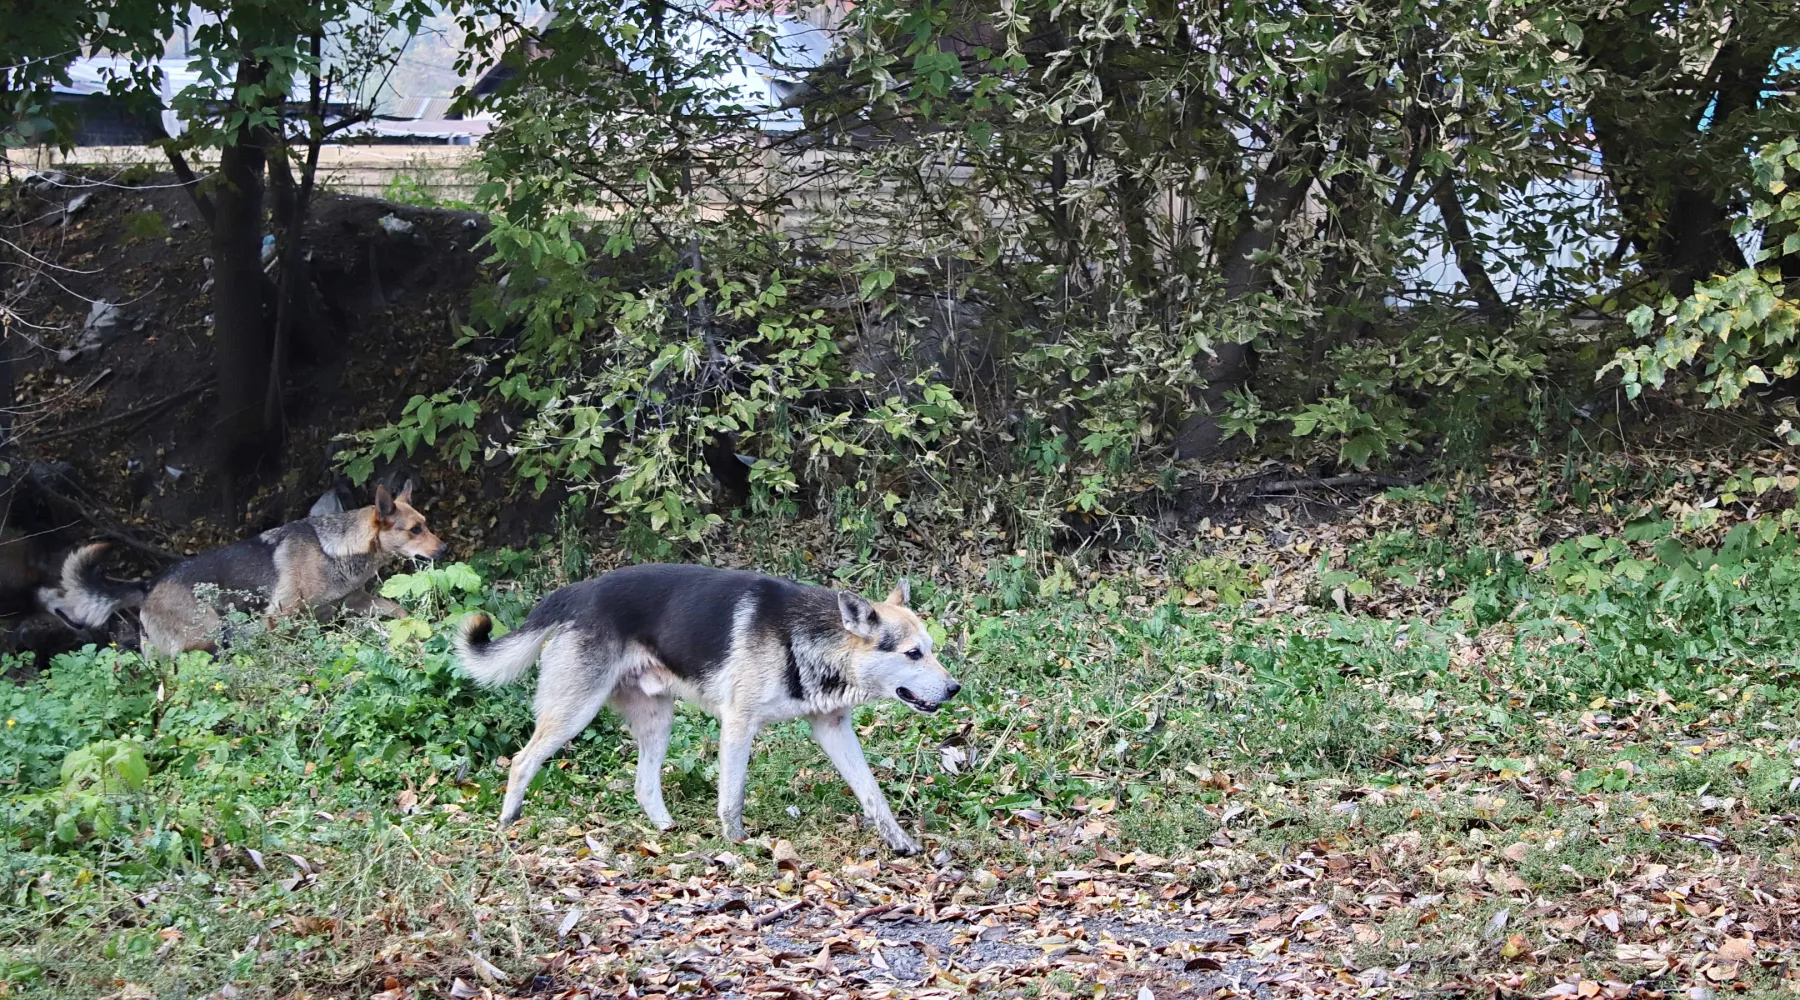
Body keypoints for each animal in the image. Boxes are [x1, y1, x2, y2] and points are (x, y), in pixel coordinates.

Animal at [45, 482, 446, 651]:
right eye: (415, 530)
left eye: (427, 524)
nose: (444, 550)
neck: (336, 548)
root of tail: (148, 586)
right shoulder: (280, 619)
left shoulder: (357, 602)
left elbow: (399, 612)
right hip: (205, 637)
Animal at [457, 564, 964, 856]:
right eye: (913, 654)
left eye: (932, 649)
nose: (955, 688)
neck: (807, 639)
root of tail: (577, 591)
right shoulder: (738, 724)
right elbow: (732, 796)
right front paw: (736, 845)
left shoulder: (833, 729)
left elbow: (873, 795)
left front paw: (899, 842)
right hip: (573, 713)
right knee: (522, 761)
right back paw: (507, 824)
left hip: (658, 722)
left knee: (644, 784)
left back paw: (666, 831)